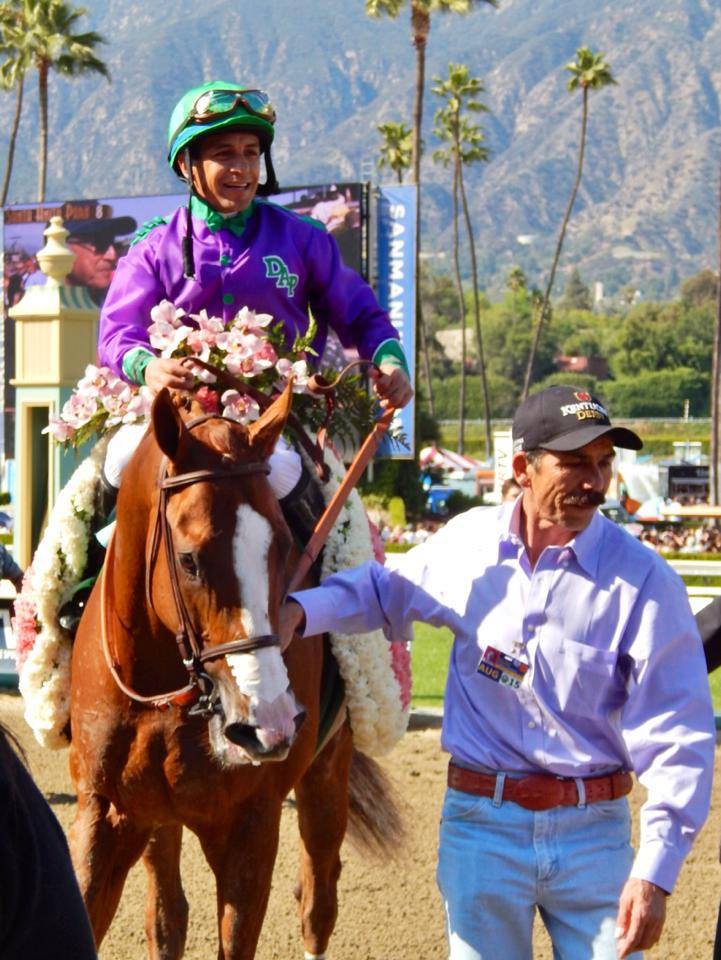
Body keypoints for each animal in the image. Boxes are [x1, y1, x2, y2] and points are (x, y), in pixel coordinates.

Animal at [67, 384, 400, 960]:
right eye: (189, 559)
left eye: (286, 546)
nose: (266, 723)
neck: (165, 689)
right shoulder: (103, 812)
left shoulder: (251, 826)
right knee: (167, 917)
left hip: (327, 769)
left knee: (318, 903)